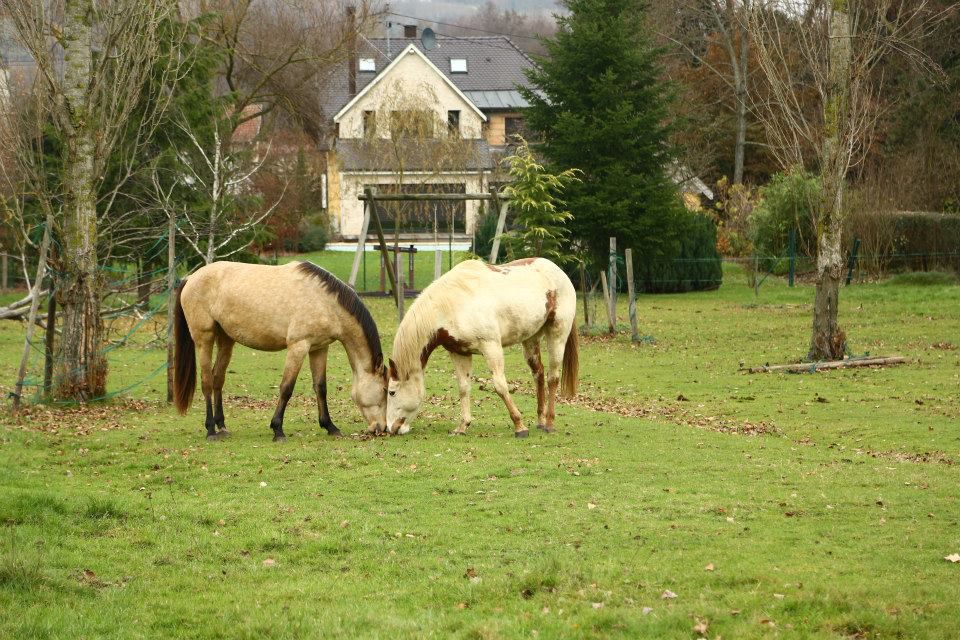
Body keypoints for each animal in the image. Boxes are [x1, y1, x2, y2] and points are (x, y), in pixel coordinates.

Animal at [173, 261, 388, 441]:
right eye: (387, 390)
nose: (383, 428)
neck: (325, 302)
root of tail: (190, 278)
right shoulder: (298, 347)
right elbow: (286, 388)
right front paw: (277, 430)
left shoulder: (319, 348)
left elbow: (320, 387)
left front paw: (330, 426)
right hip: (204, 339)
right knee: (207, 382)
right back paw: (210, 430)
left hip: (226, 339)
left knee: (218, 379)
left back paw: (222, 426)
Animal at [385, 257, 578, 437]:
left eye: (392, 392)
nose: (390, 428)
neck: (452, 303)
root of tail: (559, 272)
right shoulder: (459, 352)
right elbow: (463, 388)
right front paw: (462, 426)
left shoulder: (491, 346)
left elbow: (500, 386)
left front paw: (519, 426)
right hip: (531, 339)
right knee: (538, 374)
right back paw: (540, 421)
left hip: (557, 334)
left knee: (553, 378)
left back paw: (550, 424)